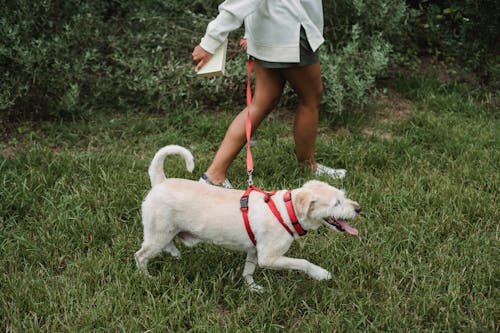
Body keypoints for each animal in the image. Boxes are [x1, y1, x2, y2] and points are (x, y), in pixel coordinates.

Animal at [135, 144, 362, 290]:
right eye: (336, 203)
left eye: (343, 196)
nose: (358, 208)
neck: (286, 210)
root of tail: (161, 181)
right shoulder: (269, 258)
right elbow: (303, 262)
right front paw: (321, 274)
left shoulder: (254, 251)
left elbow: (248, 271)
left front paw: (253, 288)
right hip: (158, 233)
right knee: (141, 256)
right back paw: (148, 279)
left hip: (165, 231)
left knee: (166, 244)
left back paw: (174, 254)